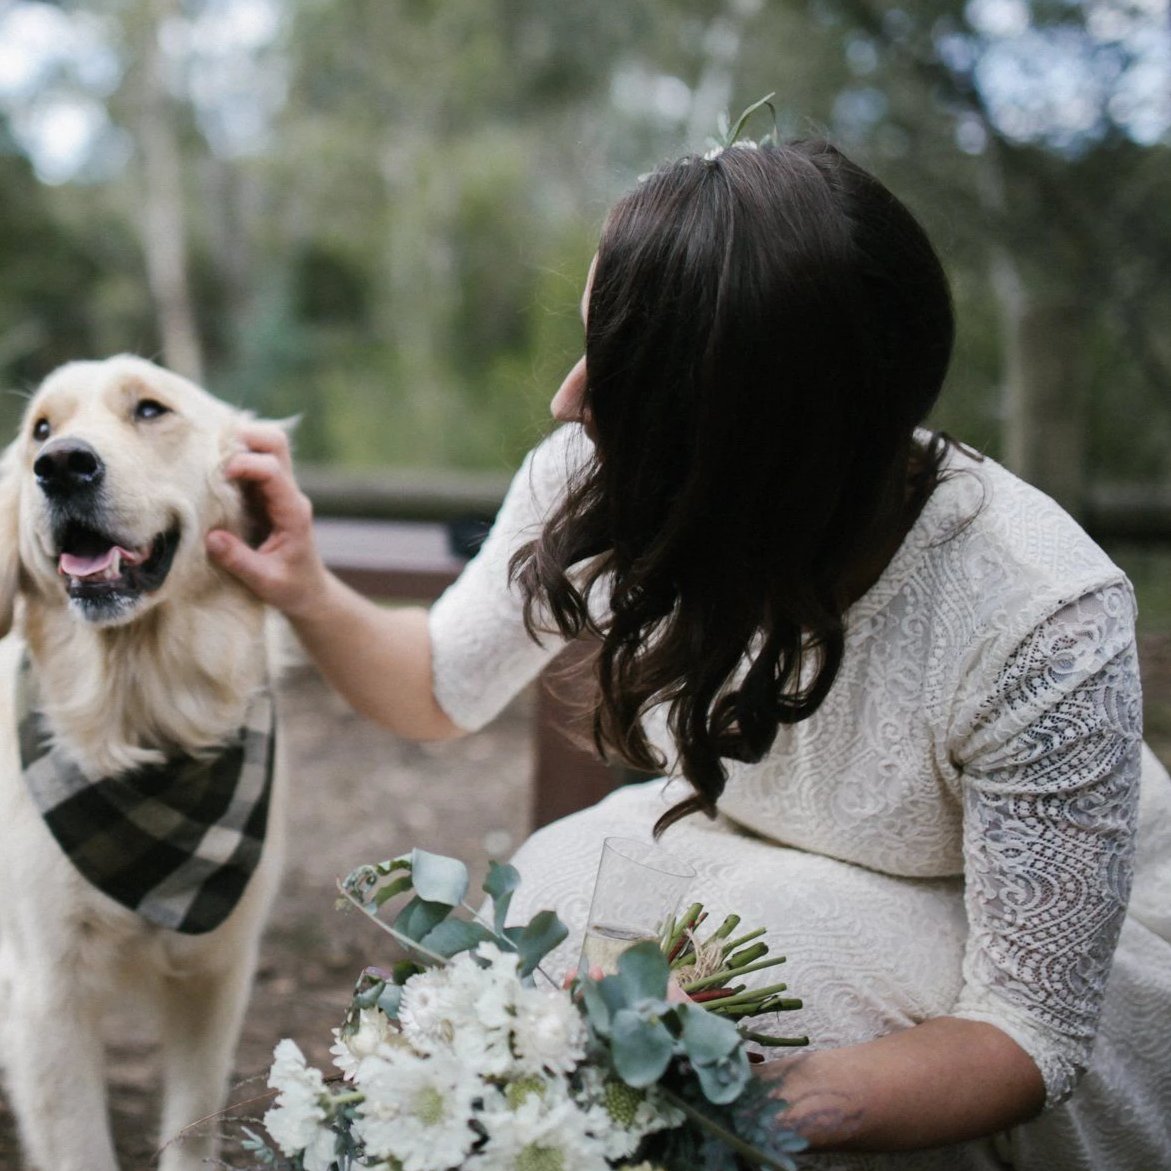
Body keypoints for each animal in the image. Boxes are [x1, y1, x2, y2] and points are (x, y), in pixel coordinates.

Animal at [0, 355, 288, 1171]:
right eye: (41, 428)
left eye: (151, 410)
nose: (62, 465)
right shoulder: (46, 998)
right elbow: (78, 1146)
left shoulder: (217, 972)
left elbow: (192, 1122)